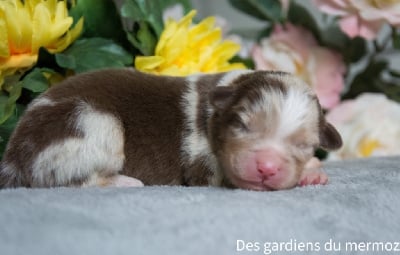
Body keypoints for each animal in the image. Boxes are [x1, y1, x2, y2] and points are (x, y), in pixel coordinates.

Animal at [0, 68, 344, 190]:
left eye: (303, 146)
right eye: (242, 125)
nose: (267, 168)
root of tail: (12, 157)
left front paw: (312, 170)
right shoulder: (203, 165)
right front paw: (311, 173)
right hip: (93, 123)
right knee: (67, 181)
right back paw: (125, 182)